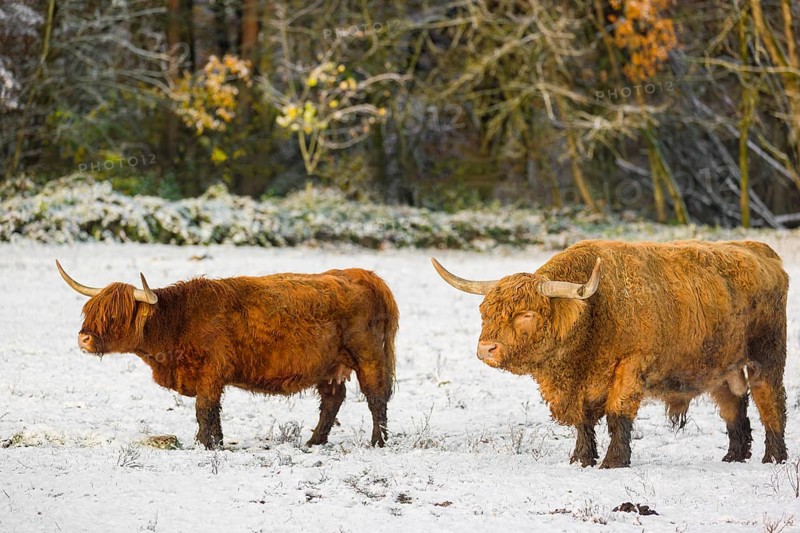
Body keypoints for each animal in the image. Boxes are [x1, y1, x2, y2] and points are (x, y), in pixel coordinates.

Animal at [56, 260, 399, 449]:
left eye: (114, 316)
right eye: (90, 310)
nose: (84, 338)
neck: (179, 320)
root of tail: (362, 274)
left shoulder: (210, 372)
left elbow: (204, 409)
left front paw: (204, 445)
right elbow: (213, 412)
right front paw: (215, 441)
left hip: (368, 356)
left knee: (376, 397)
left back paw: (377, 442)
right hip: (331, 364)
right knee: (332, 400)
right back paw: (315, 441)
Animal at [432, 239, 788, 468]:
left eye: (527, 314)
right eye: (485, 311)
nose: (486, 349)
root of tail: (761, 251)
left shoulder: (630, 368)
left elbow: (618, 415)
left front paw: (614, 461)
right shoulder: (579, 387)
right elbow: (583, 422)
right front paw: (580, 458)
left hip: (767, 357)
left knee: (770, 402)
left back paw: (774, 457)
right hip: (722, 367)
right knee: (734, 408)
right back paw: (735, 456)